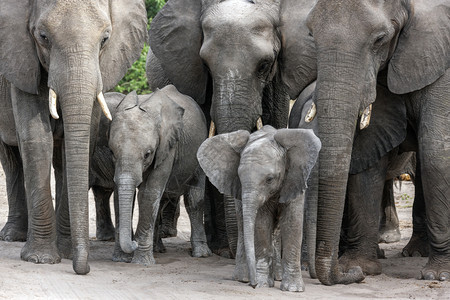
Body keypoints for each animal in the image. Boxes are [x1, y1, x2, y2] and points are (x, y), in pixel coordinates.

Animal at [0, 0, 148, 274]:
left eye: (105, 39)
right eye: (43, 37)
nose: (85, 269)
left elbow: (81, 140)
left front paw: (67, 253)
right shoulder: (22, 60)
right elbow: (36, 139)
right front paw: (41, 259)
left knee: (57, 162)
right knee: (12, 159)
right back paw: (13, 236)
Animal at [110, 84, 213, 264]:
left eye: (147, 154)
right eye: (112, 153)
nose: (133, 243)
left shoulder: (168, 146)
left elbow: (148, 193)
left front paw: (141, 262)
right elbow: (119, 195)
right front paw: (121, 259)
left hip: (199, 147)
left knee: (194, 198)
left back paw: (200, 254)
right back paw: (158, 249)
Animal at [197, 125, 320, 292]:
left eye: (270, 179)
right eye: (240, 178)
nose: (253, 285)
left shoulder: (294, 179)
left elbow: (292, 223)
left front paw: (293, 289)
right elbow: (261, 224)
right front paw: (262, 284)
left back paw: (276, 276)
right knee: (244, 226)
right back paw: (243, 278)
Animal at [306, 0, 450, 284]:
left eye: (380, 39)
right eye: (311, 36)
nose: (351, 275)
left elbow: (437, 152)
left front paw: (438, 275)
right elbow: (368, 152)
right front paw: (361, 266)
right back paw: (415, 251)